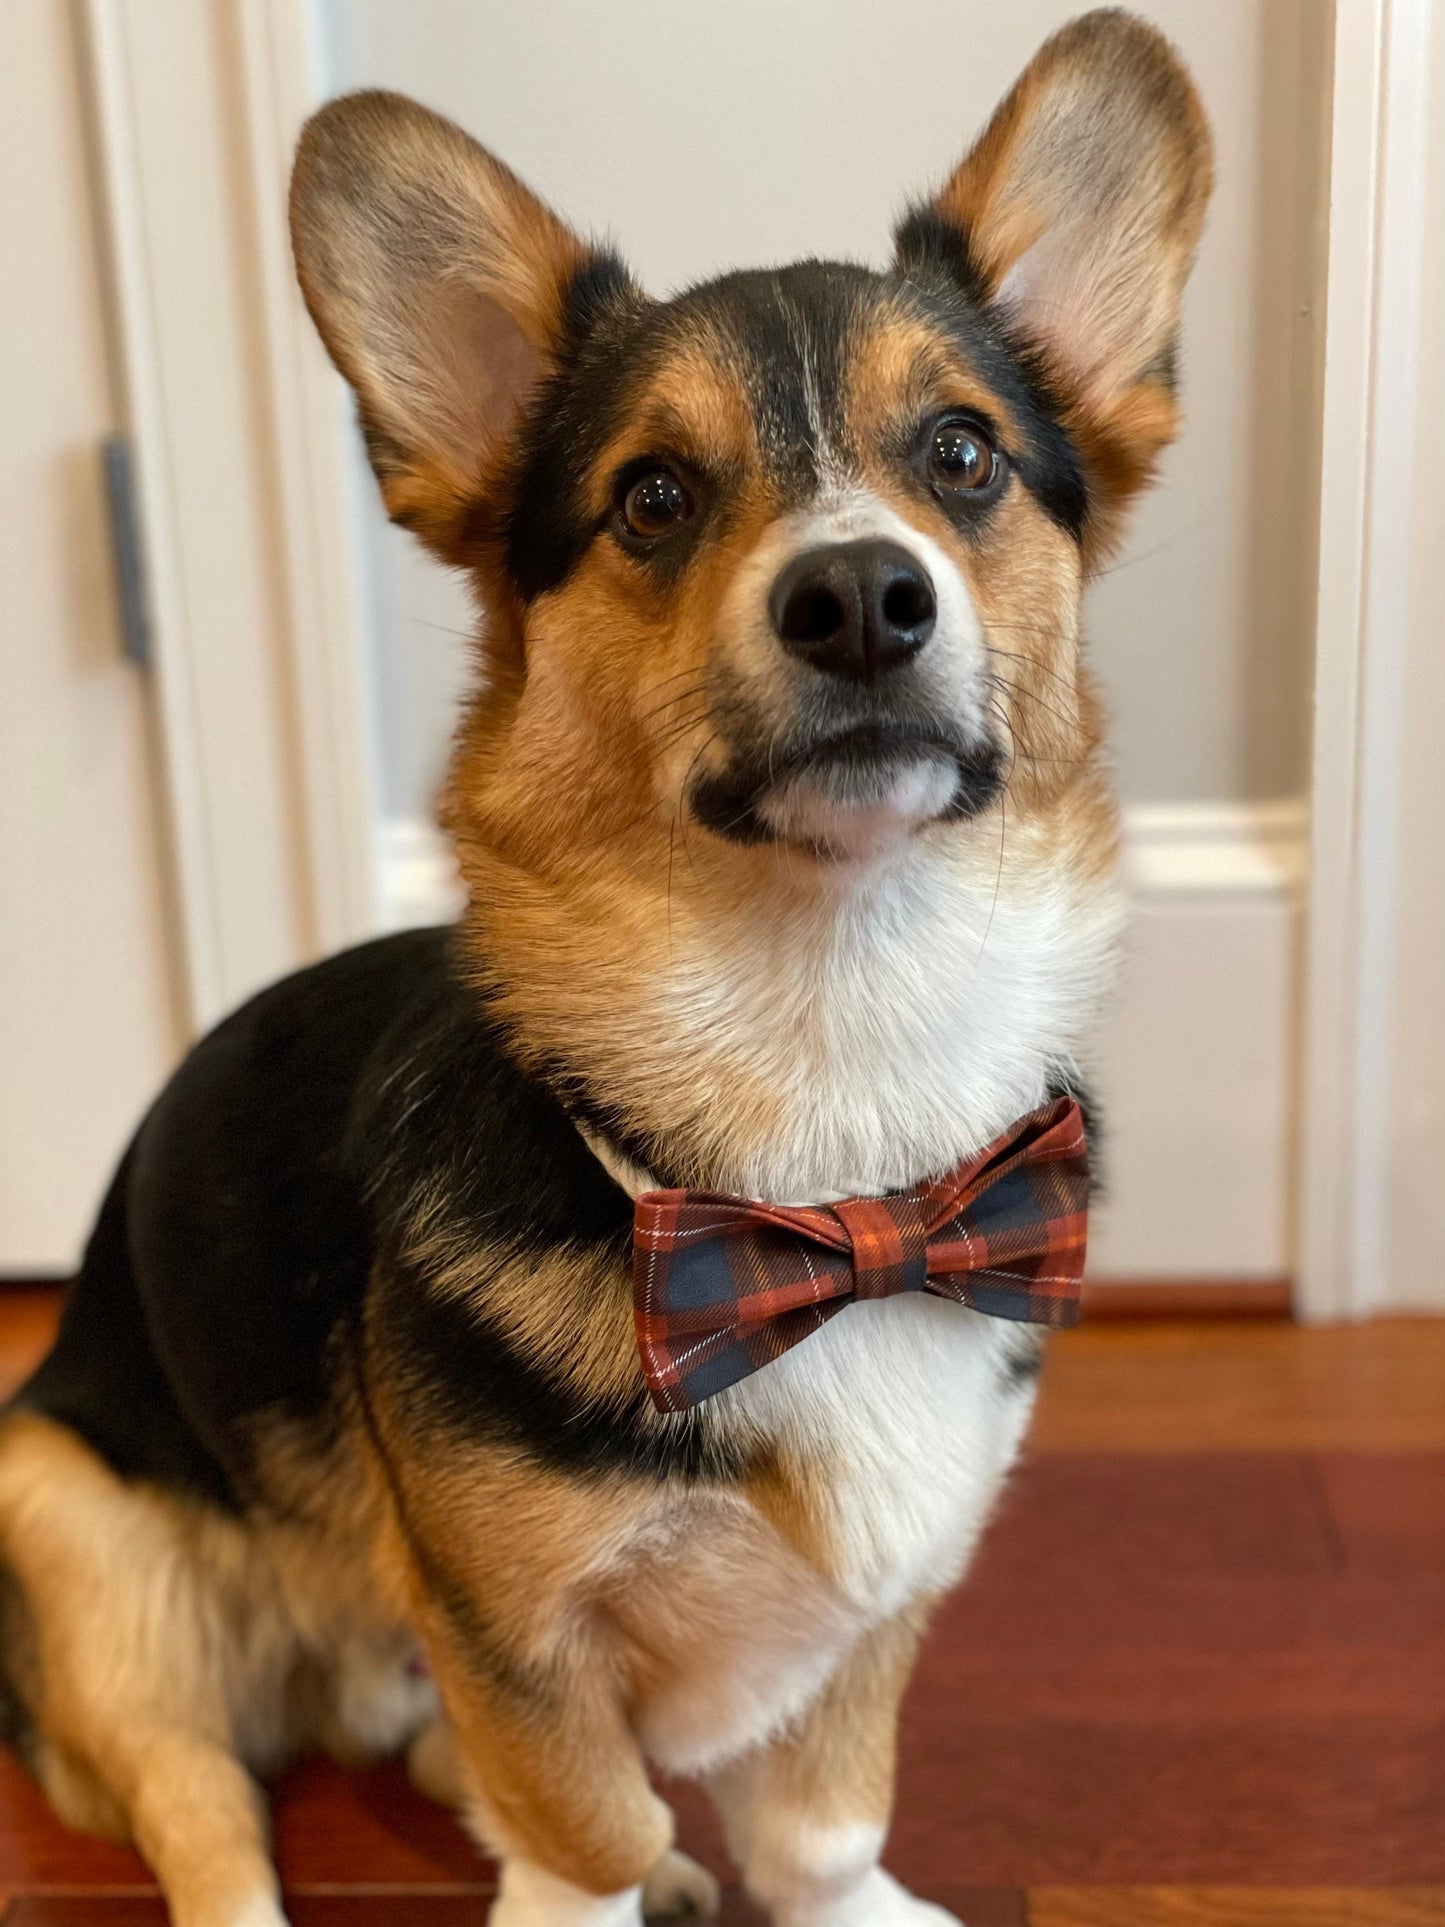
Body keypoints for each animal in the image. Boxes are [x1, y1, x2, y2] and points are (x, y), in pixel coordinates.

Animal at [0, 15, 1217, 1927]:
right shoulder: (510, 1630)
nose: (861, 597)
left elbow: (820, 1818)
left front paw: (820, 1897)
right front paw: (602, 1885)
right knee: (205, 1802)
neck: (825, 1140)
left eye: (960, 455)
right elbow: (577, 1820)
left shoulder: (885, 1600)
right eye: (653, 495)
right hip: (77, 1534)